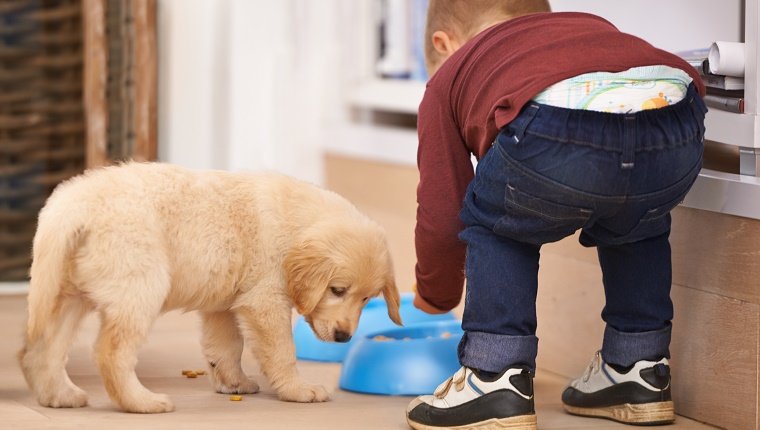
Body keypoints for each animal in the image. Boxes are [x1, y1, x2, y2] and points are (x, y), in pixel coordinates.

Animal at [17, 161, 400, 414]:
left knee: (40, 351)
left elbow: (226, 347)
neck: (295, 224)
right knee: (111, 353)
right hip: (140, 286)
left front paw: (233, 383)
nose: (344, 338)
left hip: (65, 294)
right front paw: (298, 390)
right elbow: (281, 351)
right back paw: (141, 402)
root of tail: (71, 208)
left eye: (367, 298)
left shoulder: (224, 306)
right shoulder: (264, 301)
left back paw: (60, 396)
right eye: (337, 290)